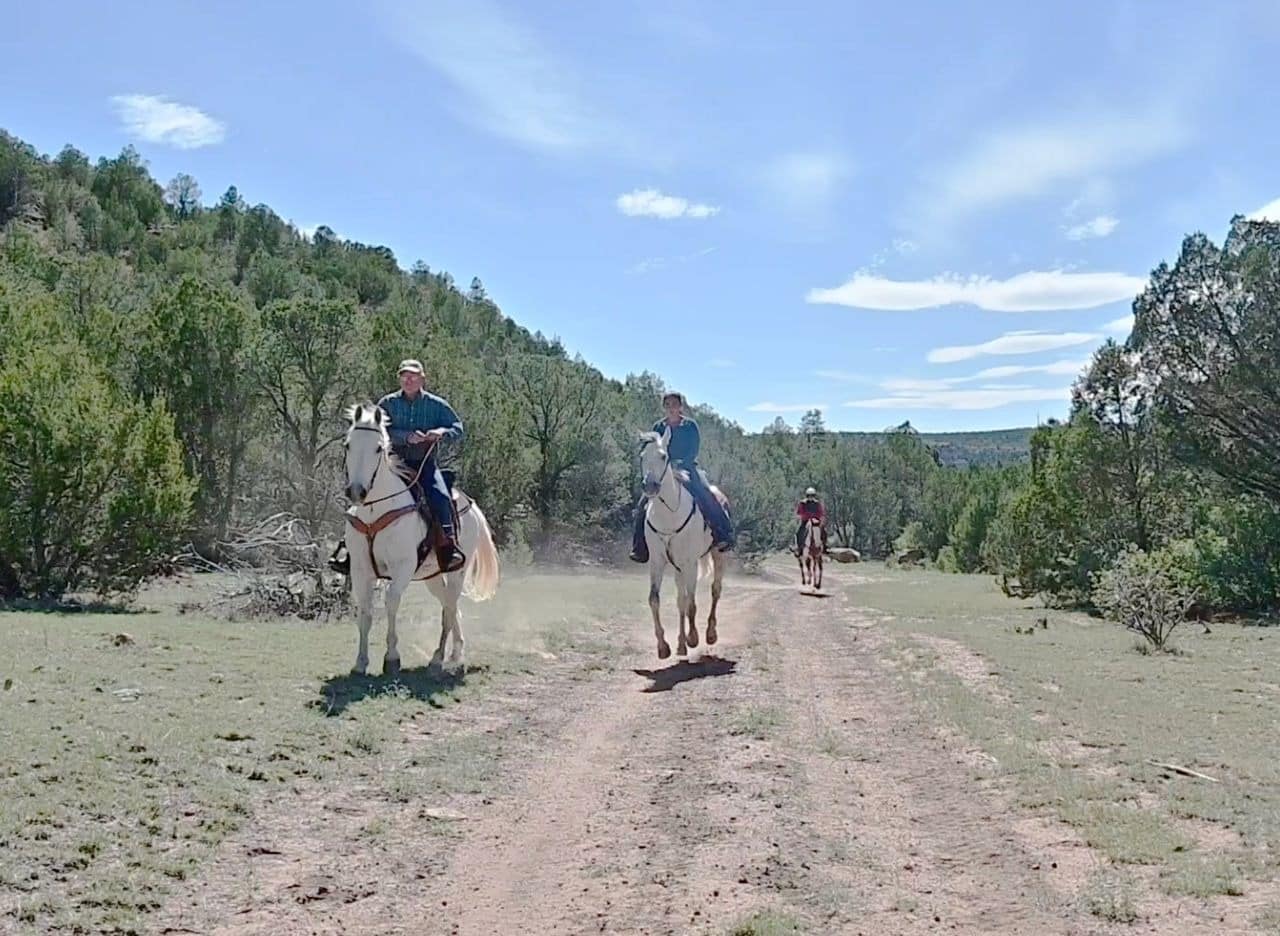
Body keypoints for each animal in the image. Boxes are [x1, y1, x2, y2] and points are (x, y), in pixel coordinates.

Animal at [340, 402, 499, 676]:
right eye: (348, 444)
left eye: (378, 447)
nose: (357, 491)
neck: (375, 511)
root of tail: (470, 504)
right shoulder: (360, 569)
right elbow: (365, 612)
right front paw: (360, 662)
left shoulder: (402, 568)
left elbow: (391, 603)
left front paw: (392, 658)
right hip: (432, 576)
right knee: (449, 606)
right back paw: (456, 651)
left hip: (457, 571)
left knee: (449, 608)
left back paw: (438, 658)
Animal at [634, 430, 727, 660]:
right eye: (642, 457)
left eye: (663, 456)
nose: (649, 486)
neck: (669, 514)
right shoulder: (657, 562)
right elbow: (655, 599)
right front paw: (663, 646)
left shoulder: (690, 563)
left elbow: (692, 603)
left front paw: (693, 638)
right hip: (677, 568)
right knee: (680, 600)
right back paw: (681, 644)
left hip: (718, 555)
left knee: (715, 590)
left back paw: (709, 634)